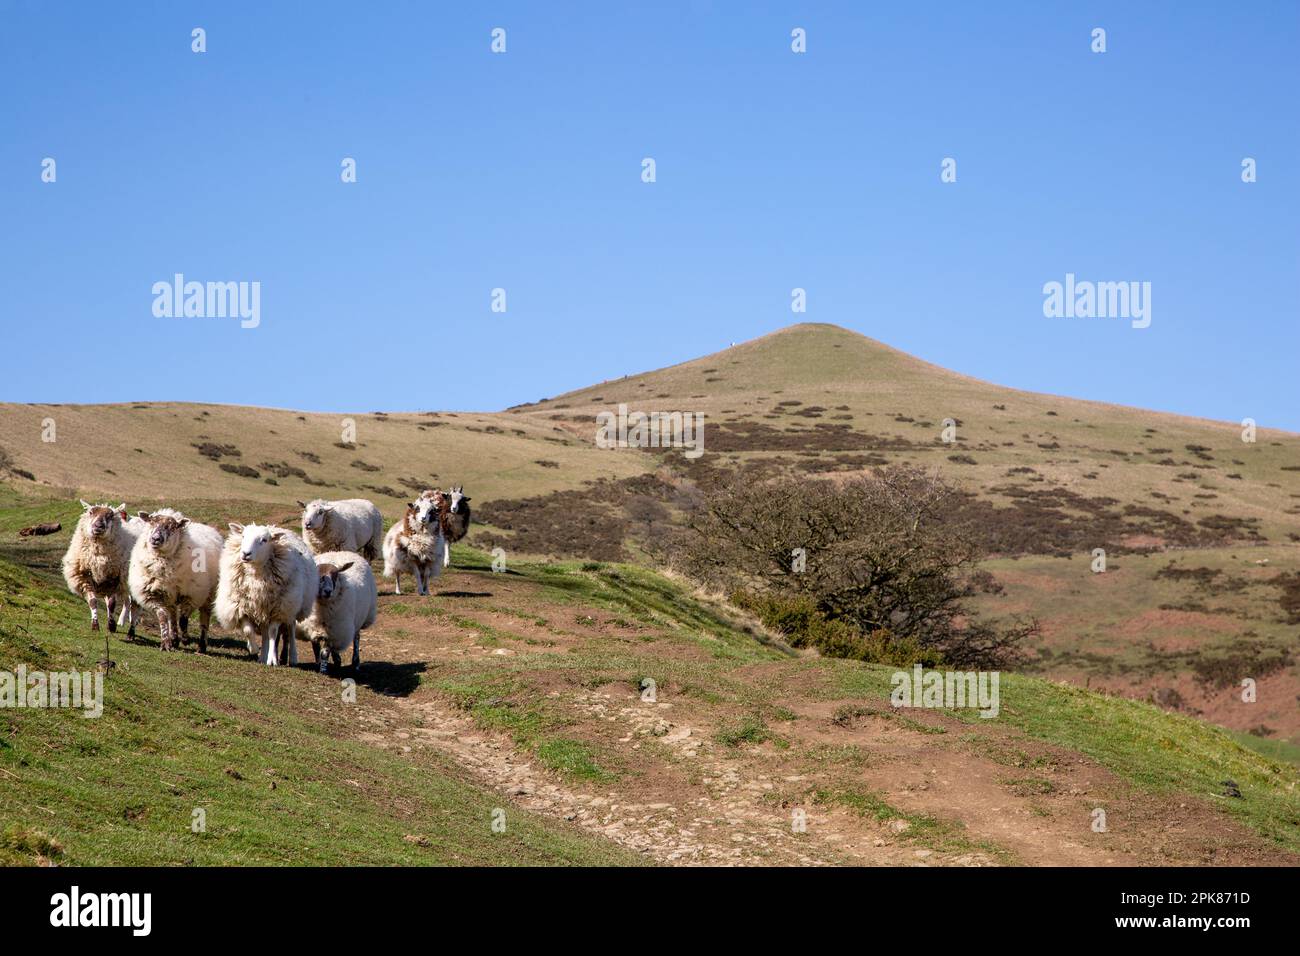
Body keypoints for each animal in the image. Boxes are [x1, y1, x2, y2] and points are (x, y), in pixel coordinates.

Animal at [62, 502, 134, 634]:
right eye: (91, 512)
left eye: (111, 515)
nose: (98, 526)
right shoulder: (85, 577)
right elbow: (93, 601)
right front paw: (95, 625)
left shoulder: (114, 578)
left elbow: (112, 604)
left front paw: (111, 625)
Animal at [126, 512, 223, 655]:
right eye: (151, 522)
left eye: (172, 527)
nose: (155, 539)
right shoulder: (153, 595)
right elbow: (162, 617)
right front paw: (166, 643)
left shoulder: (191, 595)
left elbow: (183, 620)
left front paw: (186, 639)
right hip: (170, 596)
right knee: (172, 615)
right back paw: (174, 639)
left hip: (208, 594)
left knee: (204, 618)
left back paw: (201, 646)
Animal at [217, 522, 318, 665]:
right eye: (243, 536)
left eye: (264, 540)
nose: (246, 554)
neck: (256, 574)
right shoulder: (241, 606)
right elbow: (248, 630)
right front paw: (253, 648)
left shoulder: (279, 609)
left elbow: (273, 633)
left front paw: (272, 659)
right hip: (264, 609)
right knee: (265, 632)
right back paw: (262, 656)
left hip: (292, 605)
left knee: (290, 628)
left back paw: (291, 657)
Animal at [304, 548, 379, 676]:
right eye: (318, 576)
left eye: (335, 576)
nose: (328, 591)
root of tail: (341, 551)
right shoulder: (312, 627)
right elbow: (315, 647)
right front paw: (318, 664)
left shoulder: (331, 631)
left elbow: (324, 652)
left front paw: (323, 670)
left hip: (355, 621)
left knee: (356, 638)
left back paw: (355, 663)